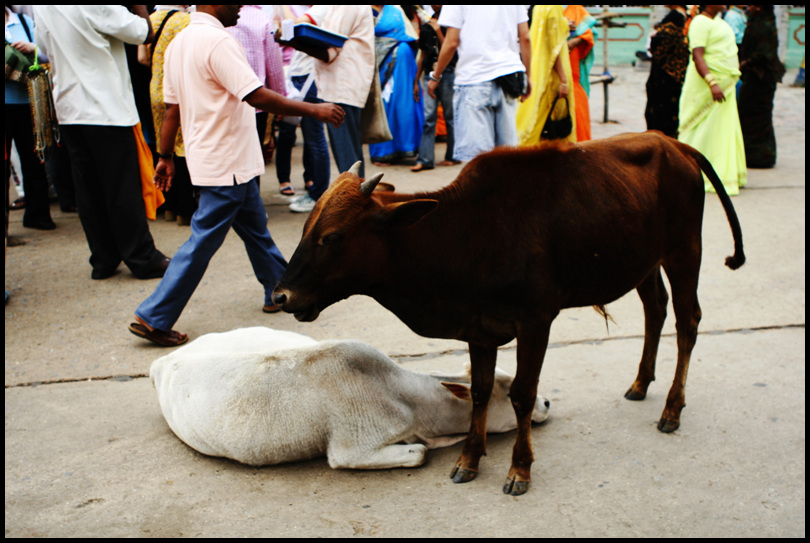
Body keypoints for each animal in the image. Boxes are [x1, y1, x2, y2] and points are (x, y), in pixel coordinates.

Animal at [274, 132, 744, 498]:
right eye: (307, 229)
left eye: (332, 237)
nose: (281, 295)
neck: (464, 231)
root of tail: (673, 143)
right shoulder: (479, 328)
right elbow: (480, 392)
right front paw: (468, 459)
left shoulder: (537, 321)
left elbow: (522, 394)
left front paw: (520, 469)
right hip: (643, 262)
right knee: (656, 310)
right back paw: (641, 383)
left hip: (685, 252)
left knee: (687, 322)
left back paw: (671, 409)